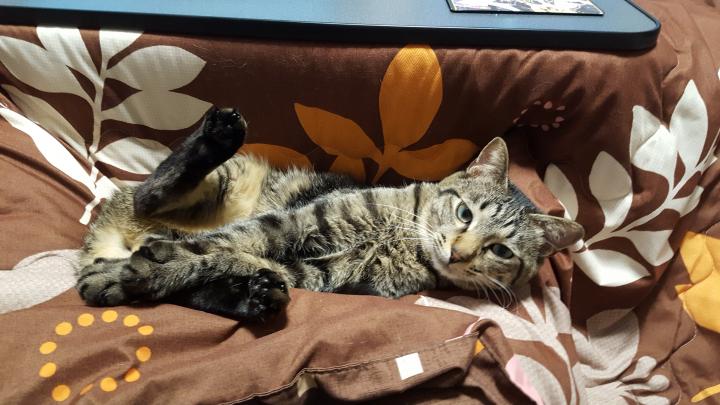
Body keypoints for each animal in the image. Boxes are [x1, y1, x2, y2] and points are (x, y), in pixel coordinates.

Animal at [76, 106, 584, 321]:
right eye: (464, 214)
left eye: (501, 251)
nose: (459, 254)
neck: (403, 239)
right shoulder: (292, 223)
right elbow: (216, 248)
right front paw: (131, 273)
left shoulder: (321, 274)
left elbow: (220, 260)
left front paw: (132, 275)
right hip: (223, 182)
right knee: (150, 194)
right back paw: (218, 136)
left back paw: (252, 299)